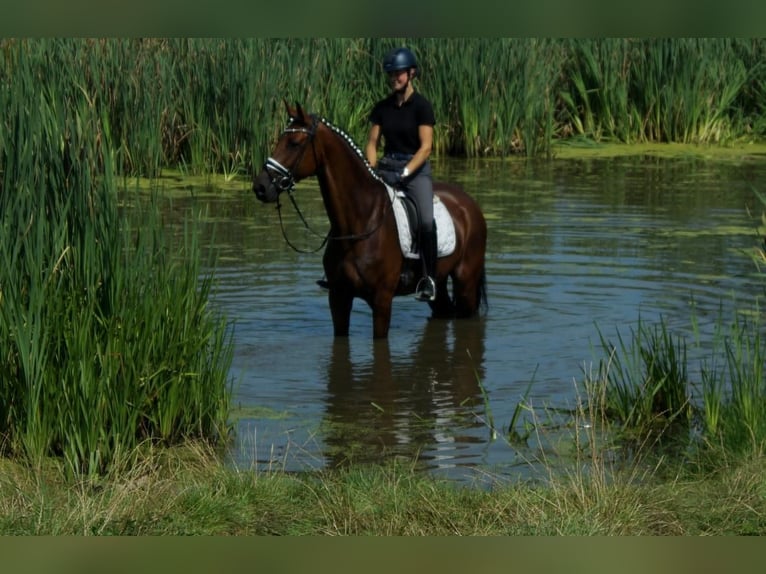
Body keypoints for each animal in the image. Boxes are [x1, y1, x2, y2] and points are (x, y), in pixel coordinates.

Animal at [255, 101, 488, 340]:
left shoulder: (382, 300)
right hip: (440, 283)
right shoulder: (338, 298)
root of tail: (469, 204)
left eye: (294, 144)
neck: (360, 220)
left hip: (466, 281)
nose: (260, 187)